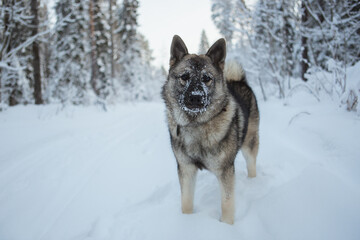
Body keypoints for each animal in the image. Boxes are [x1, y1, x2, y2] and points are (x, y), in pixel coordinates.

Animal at [162, 34, 258, 224]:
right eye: (185, 76)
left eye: (206, 78)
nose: (196, 97)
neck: (196, 125)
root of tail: (239, 81)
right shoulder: (186, 169)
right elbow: (186, 201)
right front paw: (186, 221)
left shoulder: (225, 170)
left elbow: (227, 202)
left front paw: (227, 226)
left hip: (249, 145)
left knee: (252, 165)